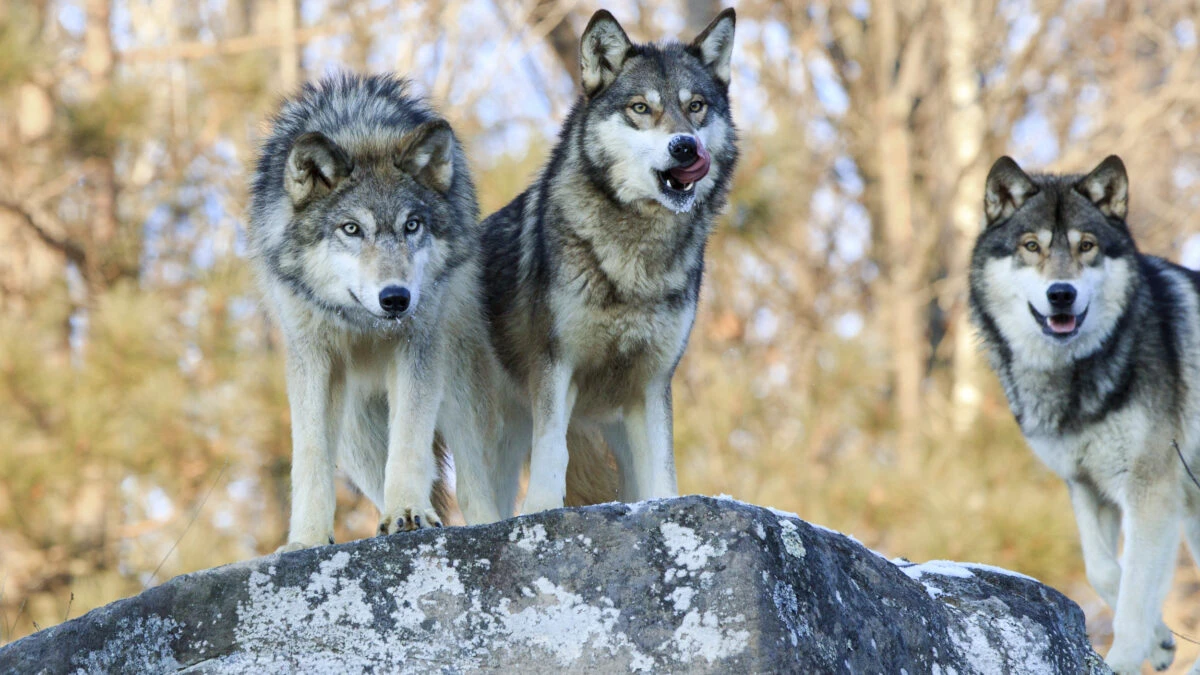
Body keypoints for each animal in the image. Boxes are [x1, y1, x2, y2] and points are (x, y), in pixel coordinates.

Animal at [248, 72, 501, 547]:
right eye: (352, 229)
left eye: (412, 225)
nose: (396, 297)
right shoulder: (312, 359)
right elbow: (309, 457)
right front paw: (307, 539)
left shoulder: (419, 346)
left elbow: (409, 443)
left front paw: (408, 511)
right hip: (354, 432)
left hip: (459, 391)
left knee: (477, 483)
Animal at [477, 7, 739, 514]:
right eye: (641, 108)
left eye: (696, 106)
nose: (685, 146)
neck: (634, 259)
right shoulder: (555, 365)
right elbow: (551, 451)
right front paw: (542, 510)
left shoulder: (652, 383)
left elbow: (662, 471)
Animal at [969, 153, 1200, 672]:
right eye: (1032, 246)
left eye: (1087, 246)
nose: (1062, 294)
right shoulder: (1086, 484)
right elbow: (1105, 572)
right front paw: (1160, 640)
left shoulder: (1152, 490)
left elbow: (1134, 592)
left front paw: (1126, 658)